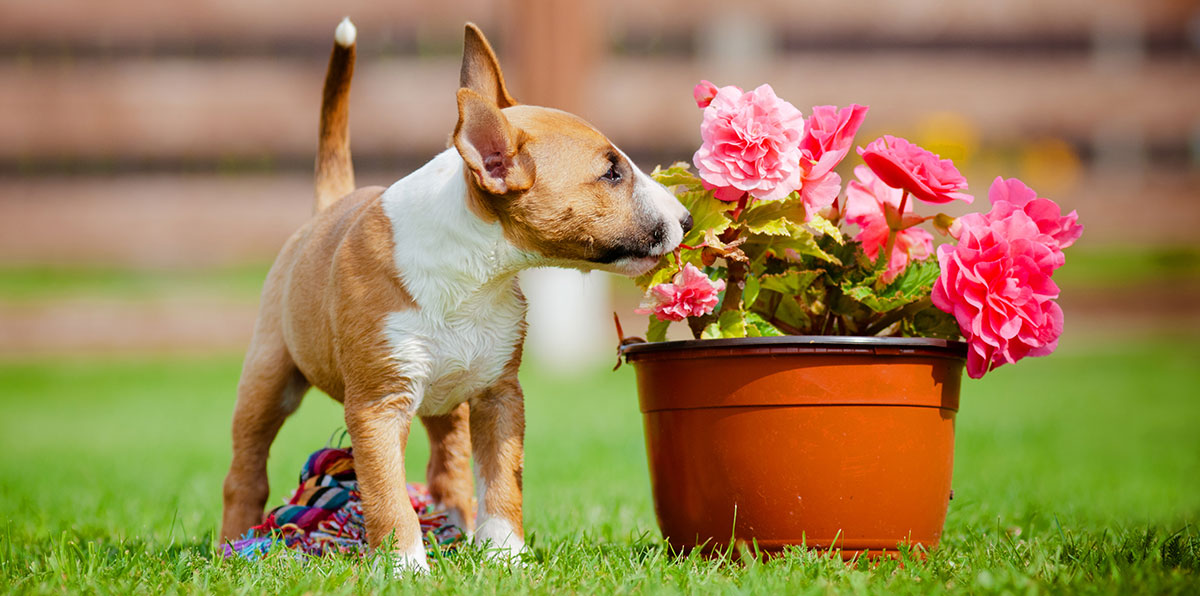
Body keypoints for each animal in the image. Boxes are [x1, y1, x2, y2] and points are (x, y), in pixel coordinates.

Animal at [220, 16, 691, 568]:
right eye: (611, 172)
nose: (685, 220)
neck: (470, 276)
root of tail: (328, 209)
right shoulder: (378, 405)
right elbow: (386, 491)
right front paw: (405, 566)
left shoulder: (499, 395)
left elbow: (501, 478)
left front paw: (505, 555)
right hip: (269, 375)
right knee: (246, 468)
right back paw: (234, 542)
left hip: (449, 399)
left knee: (448, 470)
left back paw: (456, 527)